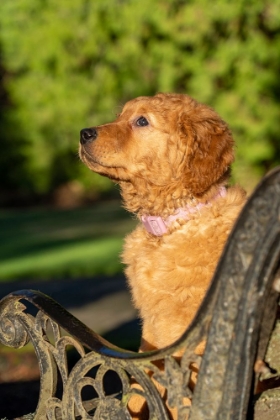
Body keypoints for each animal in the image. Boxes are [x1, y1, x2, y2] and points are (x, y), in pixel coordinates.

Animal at [79, 92, 245, 416]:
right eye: (120, 116)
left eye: (142, 121)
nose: (83, 133)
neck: (170, 225)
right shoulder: (152, 330)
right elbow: (139, 385)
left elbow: (182, 398)